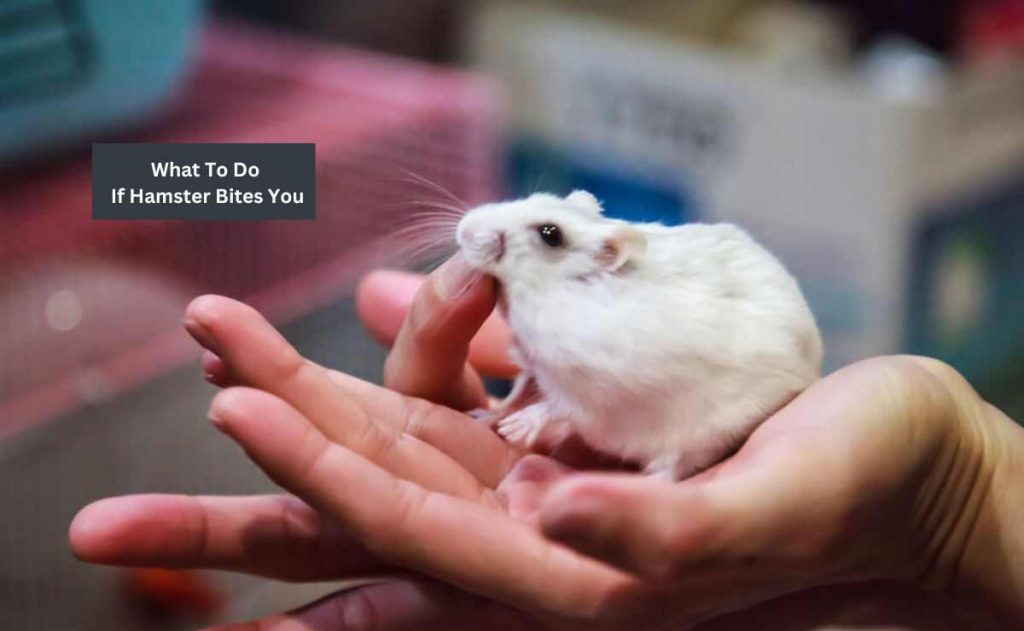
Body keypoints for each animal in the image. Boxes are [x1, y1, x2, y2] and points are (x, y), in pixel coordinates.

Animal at [456, 191, 823, 480]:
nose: (464, 229)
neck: (548, 293)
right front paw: (485, 416)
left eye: (551, 234)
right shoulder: (534, 365)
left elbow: (557, 407)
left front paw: (518, 428)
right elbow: (517, 393)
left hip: (710, 433)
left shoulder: (596, 390)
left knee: (672, 470)